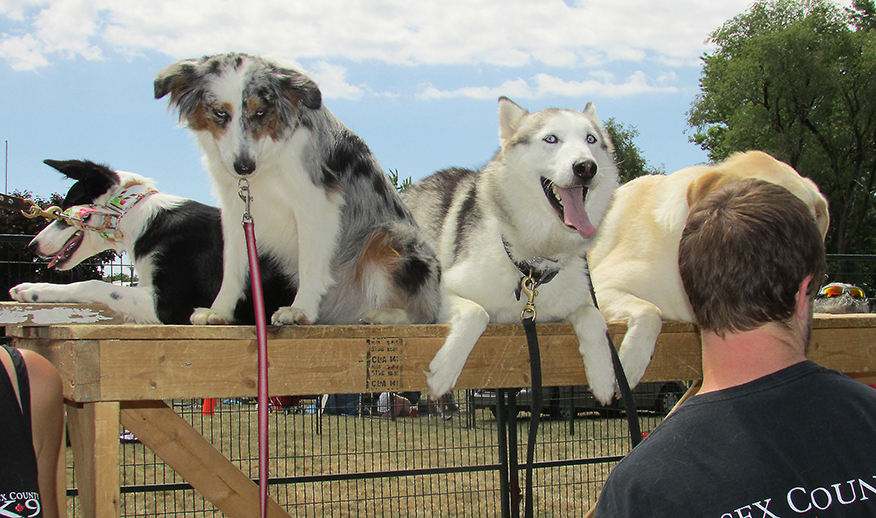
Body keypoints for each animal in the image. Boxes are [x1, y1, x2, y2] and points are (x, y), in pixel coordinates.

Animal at [8, 158, 298, 324]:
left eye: (65, 209)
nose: (32, 246)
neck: (139, 219)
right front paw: (35, 288)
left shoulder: (170, 305)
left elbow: (94, 285)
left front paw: (34, 290)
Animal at [154, 53, 442, 330]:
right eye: (220, 113)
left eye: (261, 113)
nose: (244, 166)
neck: (267, 159)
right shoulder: (235, 209)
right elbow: (233, 267)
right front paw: (219, 311)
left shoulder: (315, 201)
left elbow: (309, 263)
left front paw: (300, 309)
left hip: (389, 235)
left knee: (423, 314)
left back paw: (383, 314)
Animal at [402, 98, 616, 406]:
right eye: (551, 139)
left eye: (591, 140)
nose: (587, 167)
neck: (532, 264)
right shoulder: (442, 289)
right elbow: (477, 313)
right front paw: (445, 371)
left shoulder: (571, 304)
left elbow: (593, 317)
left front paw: (602, 377)